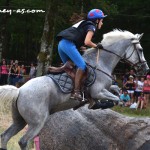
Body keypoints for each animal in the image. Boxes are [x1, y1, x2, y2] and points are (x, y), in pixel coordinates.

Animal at [0, 29, 149, 150]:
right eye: (141, 50)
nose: (145, 69)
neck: (101, 62)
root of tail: (19, 90)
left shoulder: (105, 88)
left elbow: (116, 90)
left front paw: (98, 103)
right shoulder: (98, 91)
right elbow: (116, 99)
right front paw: (98, 105)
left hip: (20, 121)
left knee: (5, 136)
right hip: (37, 122)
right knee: (23, 141)